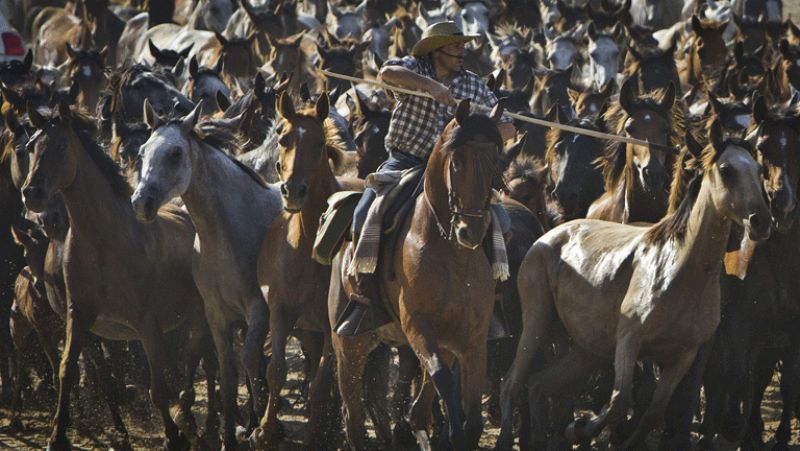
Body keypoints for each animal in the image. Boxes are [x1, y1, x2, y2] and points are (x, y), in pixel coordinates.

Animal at [21, 103, 212, 451]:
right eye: (30, 147)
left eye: (62, 146)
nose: (32, 194)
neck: (104, 240)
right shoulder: (79, 316)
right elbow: (68, 371)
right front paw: (57, 436)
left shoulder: (147, 324)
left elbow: (157, 387)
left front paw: (172, 438)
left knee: (202, 360)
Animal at [130, 100, 282, 451]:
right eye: (142, 152)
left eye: (175, 153)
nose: (141, 203)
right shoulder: (216, 314)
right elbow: (227, 373)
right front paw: (228, 436)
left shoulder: (259, 308)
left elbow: (250, 359)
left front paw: (259, 426)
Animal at [496, 120, 772, 451]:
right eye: (726, 169)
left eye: (758, 170)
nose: (761, 221)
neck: (680, 269)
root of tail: (548, 236)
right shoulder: (629, 341)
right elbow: (620, 402)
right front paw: (582, 428)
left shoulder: (683, 355)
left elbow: (653, 412)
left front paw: (590, 431)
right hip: (536, 322)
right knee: (513, 382)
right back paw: (508, 437)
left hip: (589, 349)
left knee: (539, 384)